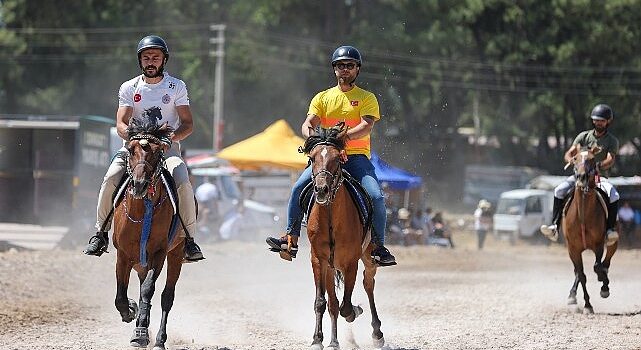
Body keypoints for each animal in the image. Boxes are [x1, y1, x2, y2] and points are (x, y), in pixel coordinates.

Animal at [110, 115, 182, 350]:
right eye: (131, 150)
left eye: (158, 152)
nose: (140, 184)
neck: (143, 208)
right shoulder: (123, 254)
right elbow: (121, 295)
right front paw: (130, 311)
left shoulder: (159, 253)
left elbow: (148, 290)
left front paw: (141, 332)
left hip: (176, 254)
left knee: (166, 296)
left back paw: (158, 339)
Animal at [302, 123, 382, 350]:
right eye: (312, 158)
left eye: (337, 159)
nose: (321, 189)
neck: (330, 217)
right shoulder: (318, 261)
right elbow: (323, 302)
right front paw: (318, 340)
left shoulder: (350, 263)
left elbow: (347, 306)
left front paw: (356, 310)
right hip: (330, 268)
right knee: (333, 303)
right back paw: (336, 340)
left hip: (368, 257)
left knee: (368, 284)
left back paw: (377, 333)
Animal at [564, 146, 616, 314]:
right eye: (575, 159)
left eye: (592, 160)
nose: (582, 177)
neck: (583, 216)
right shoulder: (573, 248)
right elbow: (581, 275)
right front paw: (587, 305)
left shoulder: (598, 245)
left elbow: (597, 266)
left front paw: (603, 284)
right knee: (578, 271)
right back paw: (572, 296)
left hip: (613, 242)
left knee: (606, 262)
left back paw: (604, 282)